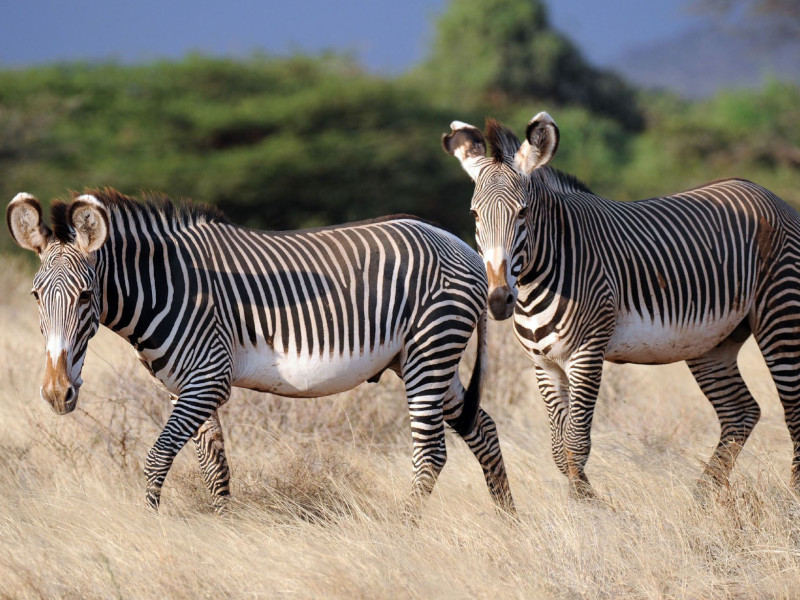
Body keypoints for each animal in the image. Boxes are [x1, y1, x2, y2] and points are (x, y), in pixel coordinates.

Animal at [6, 189, 516, 516]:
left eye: (86, 296)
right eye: (34, 296)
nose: (57, 394)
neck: (167, 287)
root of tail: (463, 247)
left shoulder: (208, 377)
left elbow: (157, 457)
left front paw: (148, 528)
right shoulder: (186, 386)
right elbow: (214, 468)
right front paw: (224, 532)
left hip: (431, 347)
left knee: (431, 453)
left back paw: (404, 531)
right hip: (421, 358)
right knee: (483, 429)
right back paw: (507, 522)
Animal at [444, 111, 800, 496]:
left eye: (523, 212)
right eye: (475, 215)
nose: (498, 300)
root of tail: (766, 193)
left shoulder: (586, 354)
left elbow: (576, 444)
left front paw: (591, 509)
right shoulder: (544, 365)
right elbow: (558, 450)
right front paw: (582, 502)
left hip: (781, 316)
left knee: (792, 411)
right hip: (713, 342)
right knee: (740, 412)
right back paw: (701, 499)